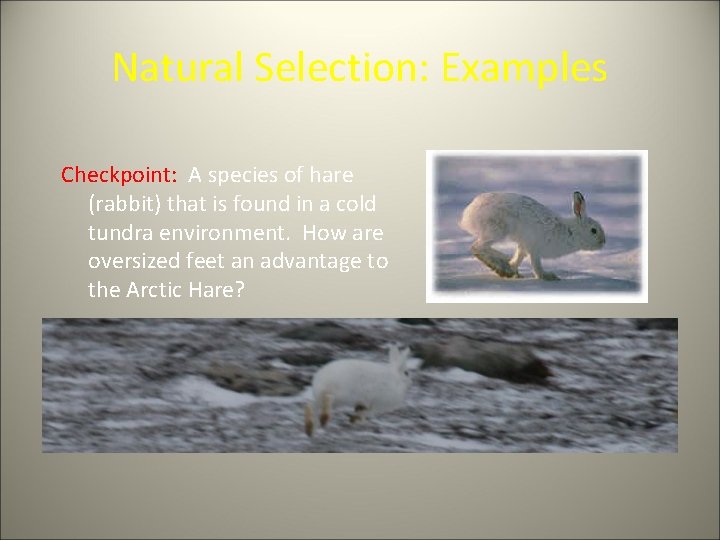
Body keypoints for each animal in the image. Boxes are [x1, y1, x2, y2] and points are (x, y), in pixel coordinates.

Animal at [459, 191, 605, 280]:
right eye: (593, 230)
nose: (603, 242)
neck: (570, 231)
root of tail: (469, 212)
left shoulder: (523, 246)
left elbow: (518, 258)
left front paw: (513, 271)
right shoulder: (534, 249)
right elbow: (536, 266)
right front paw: (547, 277)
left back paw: (504, 266)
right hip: (497, 230)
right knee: (477, 247)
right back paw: (500, 264)